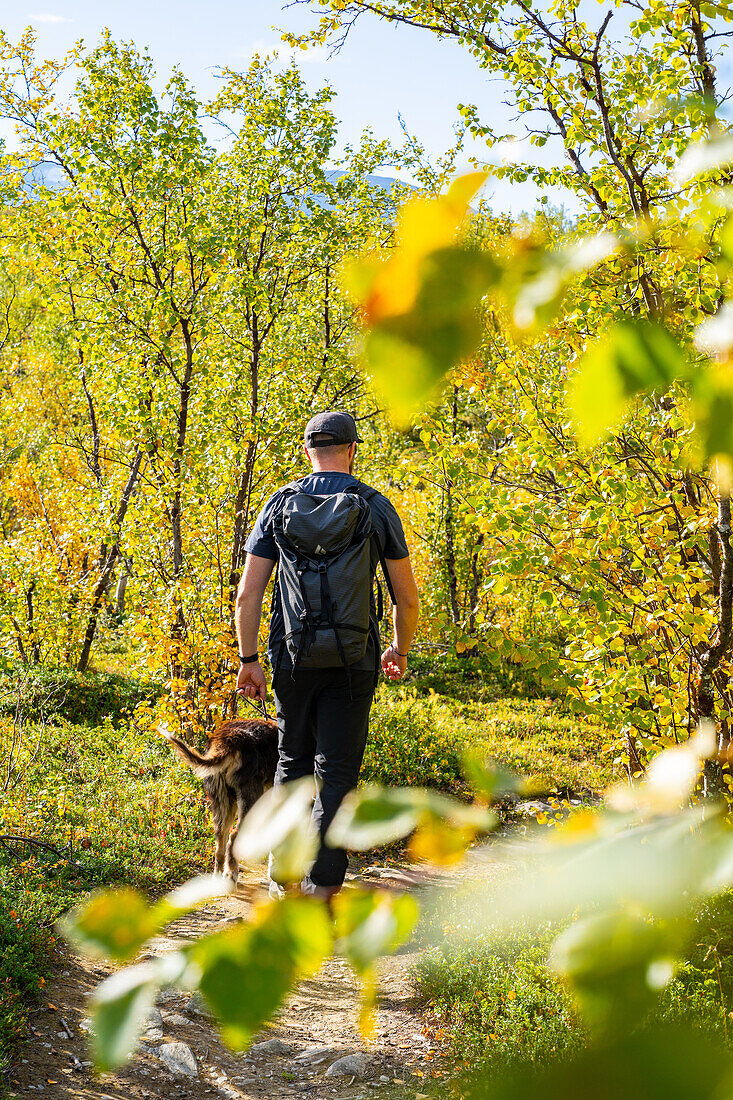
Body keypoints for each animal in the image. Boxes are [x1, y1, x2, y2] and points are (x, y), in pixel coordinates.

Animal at [159, 717, 277, 880]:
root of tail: (227, 740)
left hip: (223, 801)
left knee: (220, 844)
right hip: (250, 800)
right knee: (233, 837)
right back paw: (231, 875)